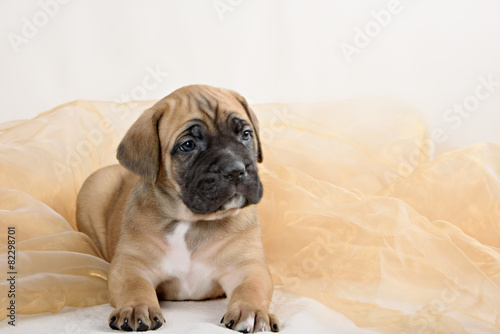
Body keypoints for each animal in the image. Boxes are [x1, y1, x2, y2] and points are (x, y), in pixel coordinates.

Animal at [76, 85, 280, 332]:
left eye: (246, 134)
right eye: (188, 145)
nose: (235, 170)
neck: (191, 221)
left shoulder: (247, 267)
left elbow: (252, 288)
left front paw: (253, 311)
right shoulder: (130, 266)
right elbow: (134, 286)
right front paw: (135, 307)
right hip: (94, 186)